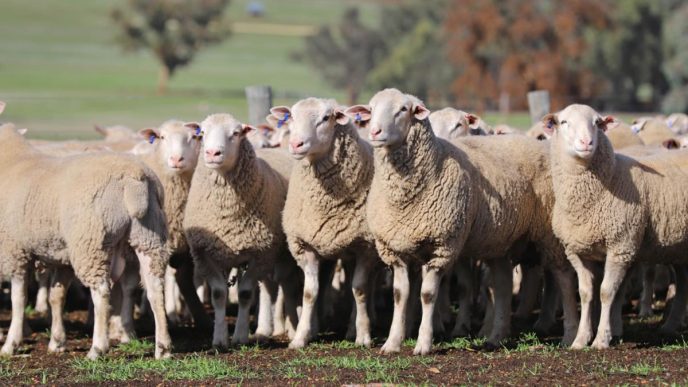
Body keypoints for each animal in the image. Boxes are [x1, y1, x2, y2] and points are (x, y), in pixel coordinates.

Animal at [0, 119, 171, 360]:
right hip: (149, 235)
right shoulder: (60, 254)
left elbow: (19, 299)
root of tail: (134, 178)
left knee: (101, 292)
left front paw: (11, 344)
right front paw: (57, 342)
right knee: (156, 288)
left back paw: (97, 348)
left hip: (90, 241)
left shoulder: (15, 249)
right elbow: (57, 297)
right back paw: (163, 348)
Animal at [184, 113, 294, 348]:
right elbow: (218, 294)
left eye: (235, 133)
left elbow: (244, 293)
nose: (212, 153)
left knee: (274, 288)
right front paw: (219, 339)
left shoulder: (260, 253)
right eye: (202, 133)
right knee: (268, 287)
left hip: (275, 252)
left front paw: (240, 336)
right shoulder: (205, 254)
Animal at [272, 97, 382, 348]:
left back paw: (355, 328)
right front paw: (300, 337)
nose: (296, 144)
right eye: (292, 116)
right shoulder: (306, 246)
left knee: (365, 286)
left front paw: (363, 336)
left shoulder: (365, 246)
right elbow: (310, 293)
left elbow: (360, 290)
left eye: (325, 118)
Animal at [346, 89, 576, 356]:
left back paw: (569, 334)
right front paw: (392, 343)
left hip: (549, 234)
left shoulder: (442, 247)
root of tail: (536, 142)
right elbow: (399, 295)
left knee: (564, 279)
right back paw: (496, 336)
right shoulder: (395, 249)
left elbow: (427, 294)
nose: (375, 132)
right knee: (503, 284)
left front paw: (424, 344)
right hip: (499, 240)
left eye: (403, 109)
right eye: (371, 108)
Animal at [544, 104, 688, 352]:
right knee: (684, 282)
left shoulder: (620, 246)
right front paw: (580, 340)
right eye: (563, 122)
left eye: (597, 123)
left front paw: (601, 340)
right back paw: (670, 326)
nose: (587, 142)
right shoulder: (577, 251)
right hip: (677, 247)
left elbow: (606, 292)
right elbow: (586, 293)